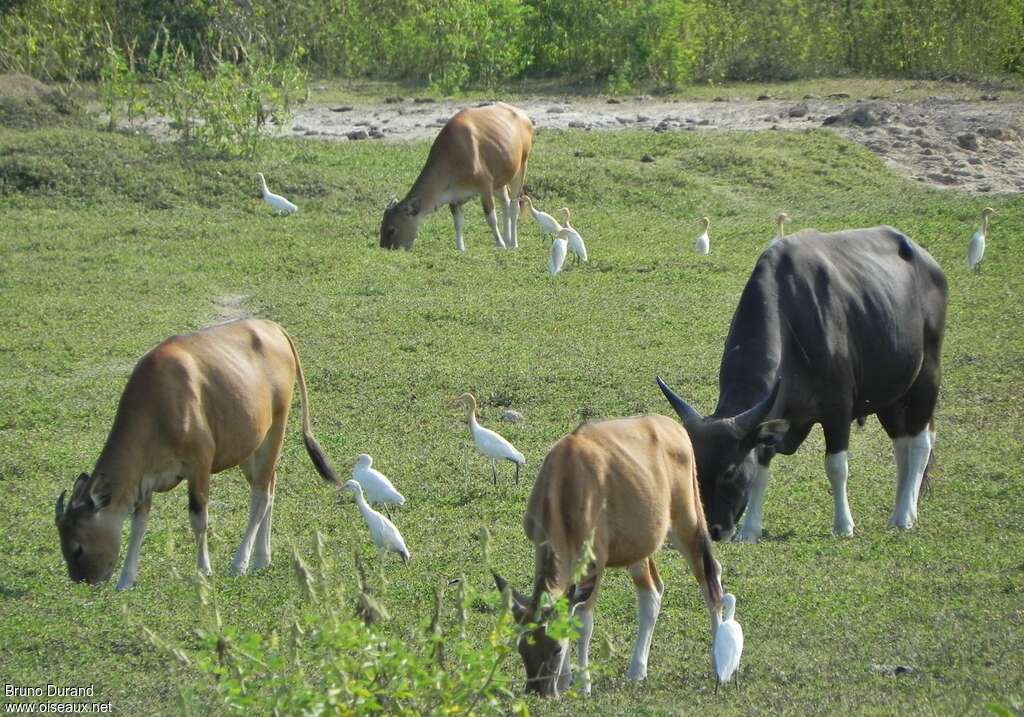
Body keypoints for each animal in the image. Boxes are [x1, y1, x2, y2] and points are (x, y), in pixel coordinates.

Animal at [55, 319, 344, 589]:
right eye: (63, 545)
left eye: (78, 548)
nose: (86, 580)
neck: (159, 404)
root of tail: (274, 328)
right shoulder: (144, 478)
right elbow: (139, 524)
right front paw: (125, 580)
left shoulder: (199, 465)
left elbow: (199, 518)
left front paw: (204, 569)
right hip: (248, 446)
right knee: (270, 486)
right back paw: (262, 558)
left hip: (275, 430)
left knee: (261, 498)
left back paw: (240, 562)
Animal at [380, 100, 532, 251]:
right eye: (381, 226)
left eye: (391, 230)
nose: (384, 248)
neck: (454, 157)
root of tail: (523, 115)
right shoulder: (453, 197)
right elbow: (458, 223)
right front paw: (460, 249)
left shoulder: (485, 187)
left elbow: (491, 219)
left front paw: (500, 244)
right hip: (500, 180)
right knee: (505, 203)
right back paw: (508, 239)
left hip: (521, 167)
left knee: (514, 206)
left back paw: (513, 243)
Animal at [493, 411, 720, 696]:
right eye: (522, 646)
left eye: (556, 649)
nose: (539, 691)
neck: (566, 483)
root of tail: (675, 428)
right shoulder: (542, 547)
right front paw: (566, 681)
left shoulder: (596, 562)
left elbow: (583, 623)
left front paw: (583, 685)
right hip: (638, 548)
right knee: (652, 593)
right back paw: (637, 670)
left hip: (688, 524)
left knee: (711, 580)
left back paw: (718, 665)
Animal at [659, 226, 946, 540]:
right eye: (695, 471)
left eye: (730, 472)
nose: (715, 530)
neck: (792, 317)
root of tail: (927, 260)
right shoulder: (772, 416)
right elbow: (762, 467)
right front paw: (750, 529)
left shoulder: (838, 409)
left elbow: (837, 466)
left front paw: (843, 525)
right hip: (890, 394)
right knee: (902, 445)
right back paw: (902, 510)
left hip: (927, 376)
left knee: (920, 442)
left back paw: (905, 514)